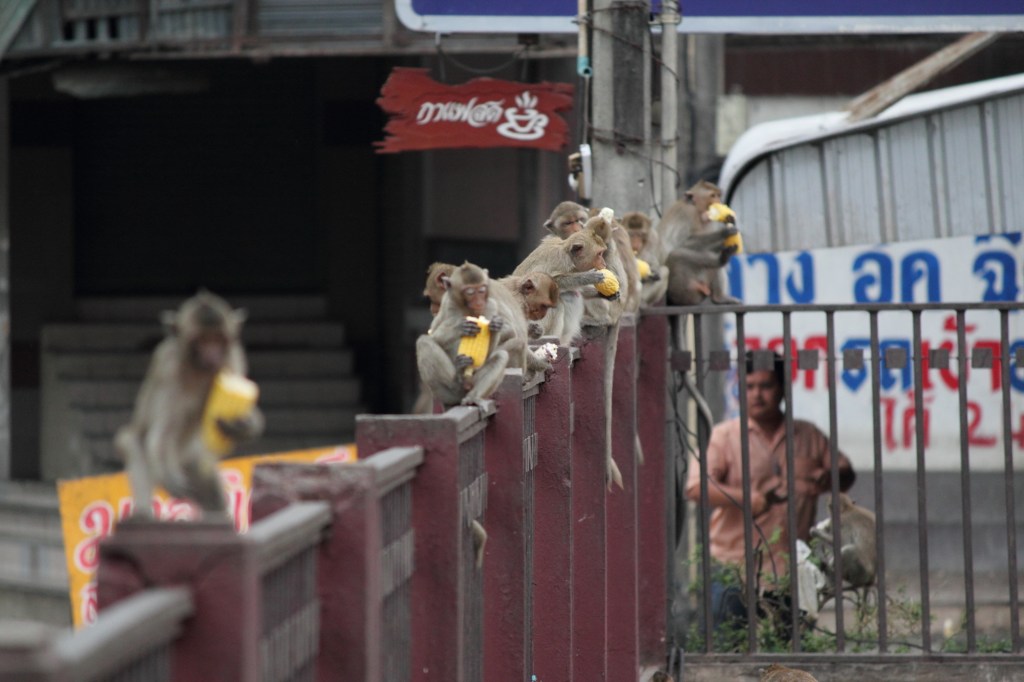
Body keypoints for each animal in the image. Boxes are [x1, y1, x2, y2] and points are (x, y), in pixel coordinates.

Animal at [114, 286, 266, 516]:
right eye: (202, 340)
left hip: (193, 460)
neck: (198, 367)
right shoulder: (169, 368)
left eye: (217, 339)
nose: (212, 354)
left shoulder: (233, 358)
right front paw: (169, 477)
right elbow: (164, 432)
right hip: (141, 452)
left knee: (213, 500)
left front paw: (244, 425)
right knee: (138, 452)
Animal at [415, 260, 512, 405]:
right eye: (470, 292)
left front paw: (495, 326)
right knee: (424, 342)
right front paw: (460, 327)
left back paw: (473, 397)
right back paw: (457, 375)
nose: (479, 302)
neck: (468, 309)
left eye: (482, 290)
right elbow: (433, 335)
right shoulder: (447, 304)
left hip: (473, 380)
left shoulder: (491, 305)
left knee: (501, 356)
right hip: (446, 393)